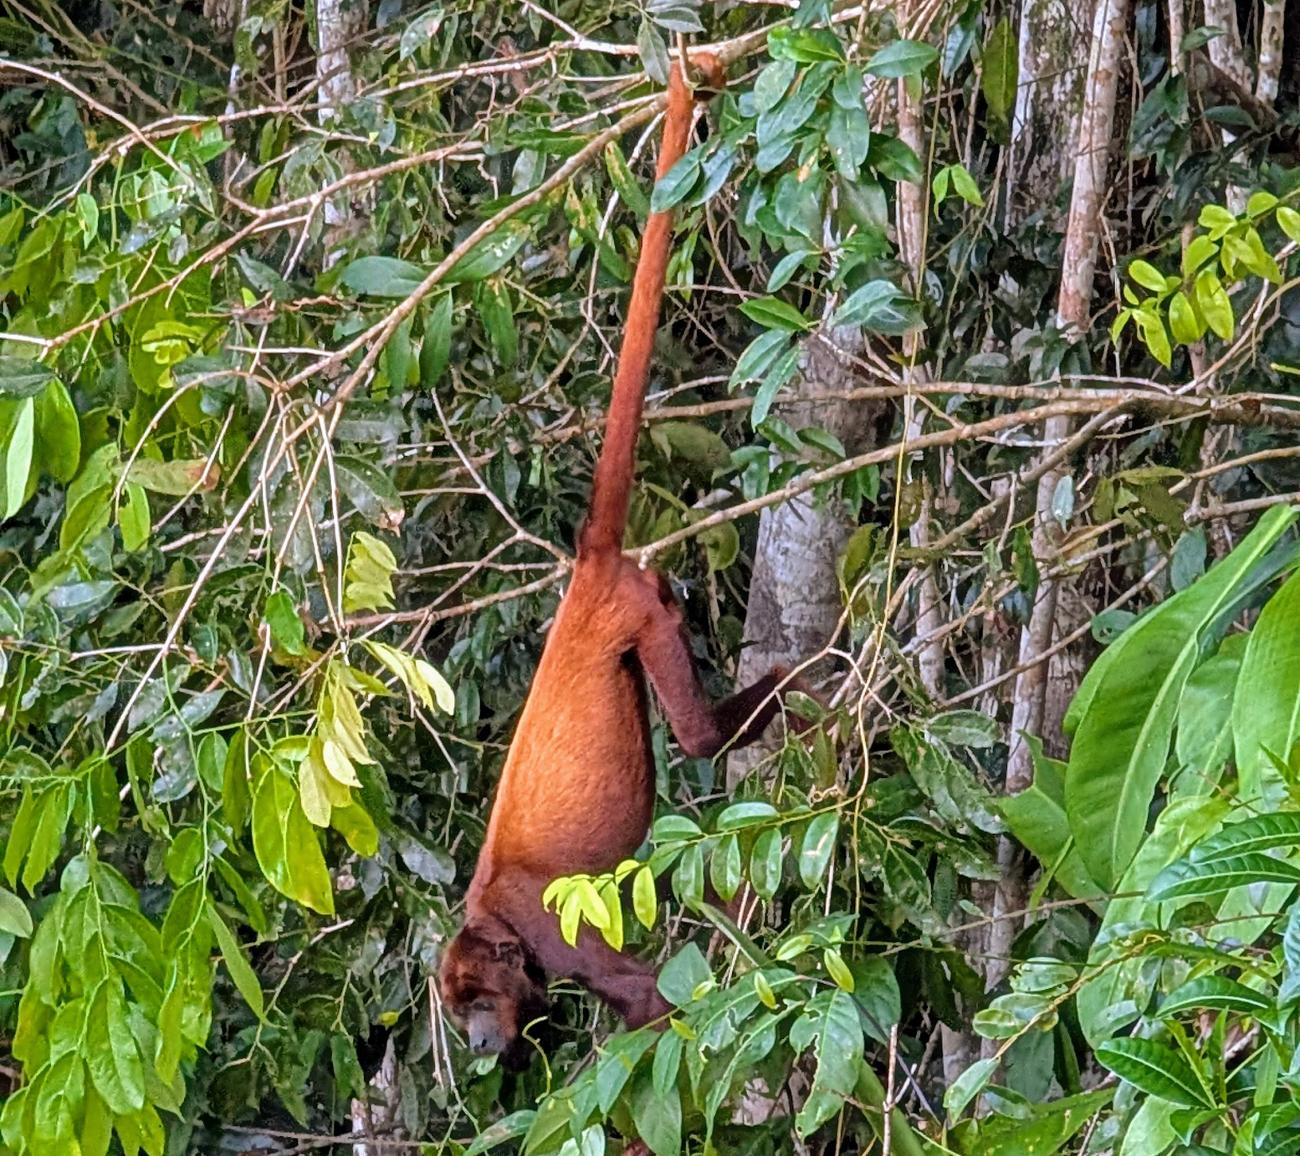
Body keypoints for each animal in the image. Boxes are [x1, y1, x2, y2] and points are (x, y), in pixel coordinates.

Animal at [438, 52, 807, 1068]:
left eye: (478, 997)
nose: (477, 1043)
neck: (492, 921)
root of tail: (588, 568)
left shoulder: (541, 923)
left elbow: (648, 1001)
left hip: (632, 611)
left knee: (699, 739)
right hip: (647, 603)